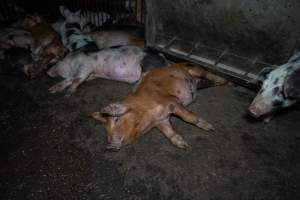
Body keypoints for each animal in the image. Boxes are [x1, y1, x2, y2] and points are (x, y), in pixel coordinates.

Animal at [91, 62, 227, 150]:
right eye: (107, 131)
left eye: (116, 119)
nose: (110, 146)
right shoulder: (162, 121)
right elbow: (169, 132)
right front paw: (183, 145)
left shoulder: (172, 101)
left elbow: (189, 118)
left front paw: (210, 128)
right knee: (205, 81)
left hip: (192, 68)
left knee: (208, 73)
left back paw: (226, 82)